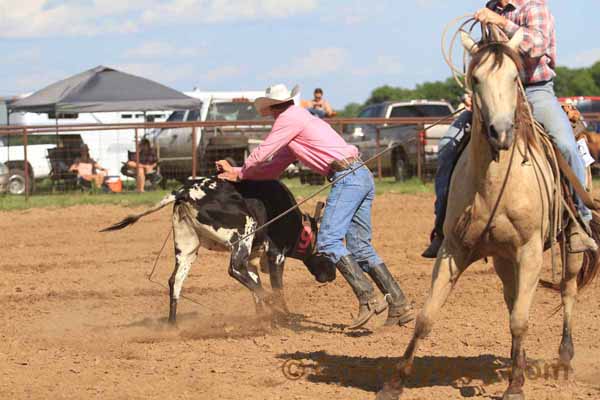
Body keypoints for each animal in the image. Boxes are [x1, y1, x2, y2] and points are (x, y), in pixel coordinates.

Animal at [380, 28, 600, 400]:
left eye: (514, 78)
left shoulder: (530, 252)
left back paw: (565, 359)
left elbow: (521, 320)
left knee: (567, 292)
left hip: (567, 249)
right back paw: (520, 362)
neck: (495, 184)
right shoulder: (453, 249)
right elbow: (427, 316)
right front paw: (395, 381)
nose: (501, 132)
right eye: (476, 79)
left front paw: (515, 386)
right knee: (513, 298)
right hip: (502, 258)